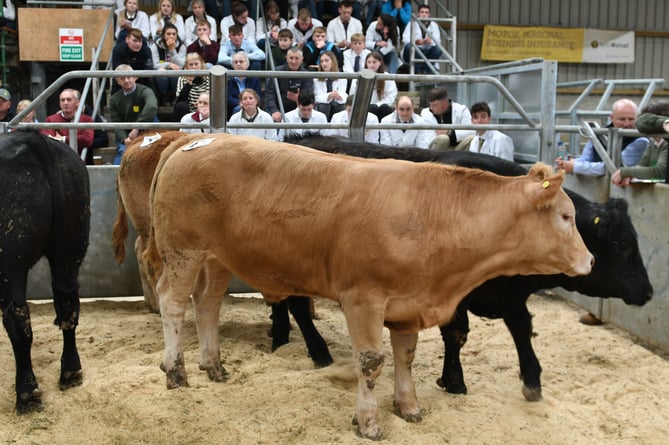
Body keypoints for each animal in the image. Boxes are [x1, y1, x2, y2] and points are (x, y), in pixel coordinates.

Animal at [0, 131, 90, 412]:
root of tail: (30, 137)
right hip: (71, 243)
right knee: (68, 304)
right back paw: (71, 373)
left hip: (9, 264)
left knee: (18, 322)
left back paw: (27, 395)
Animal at [141, 135, 588, 440]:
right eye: (567, 216)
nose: (590, 260)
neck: (432, 215)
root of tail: (191, 140)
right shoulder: (362, 298)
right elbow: (371, 362)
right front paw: (369, 422)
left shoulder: (408, 304)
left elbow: (405, 357)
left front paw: (408, 407)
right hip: (182, 251)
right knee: (174, 303)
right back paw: (176, 371)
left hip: (216, 258)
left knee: (207, 304)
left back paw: (213, 365)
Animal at [278, 134, 652, 400]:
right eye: (621, 244)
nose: (648, 292)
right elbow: (457, 333)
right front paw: (455, 381)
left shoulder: (510, 294)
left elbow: (521, 327)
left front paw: (532, 379)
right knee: (295, 303)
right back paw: (318, 351)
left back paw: (279, 337)